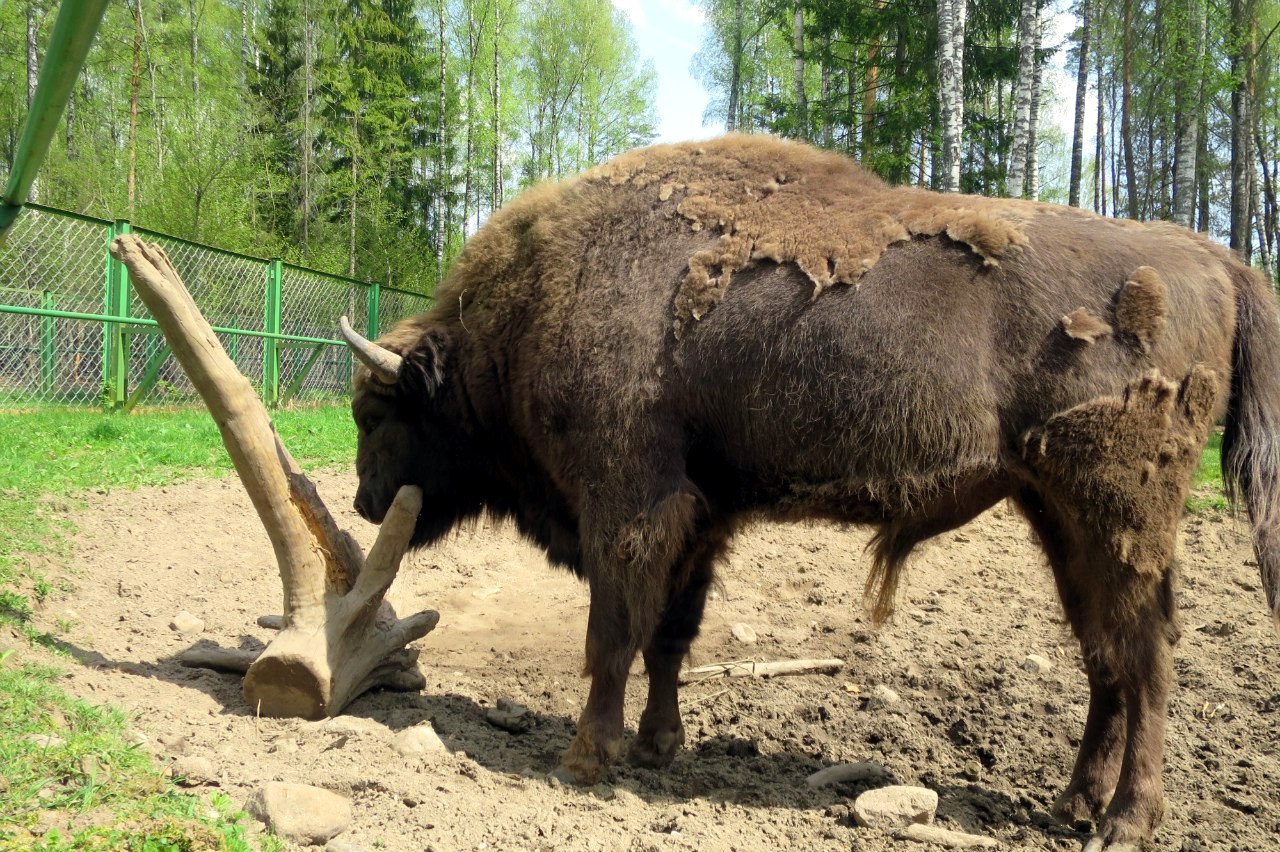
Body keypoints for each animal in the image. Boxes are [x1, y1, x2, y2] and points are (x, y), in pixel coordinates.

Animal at [337, 134, 1280, 849]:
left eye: (376, 411)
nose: (365, 501)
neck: (534, 301)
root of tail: (1212, 257)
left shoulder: (629, 508)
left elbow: (612, 633)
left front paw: (586, 757)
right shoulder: (701, 520)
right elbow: (670, 637)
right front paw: (656, 747)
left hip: (1120, 513)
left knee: (1147, 655)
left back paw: (1126, 821)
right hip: (1061, 516)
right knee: (1104, 654)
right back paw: (1073, 803)